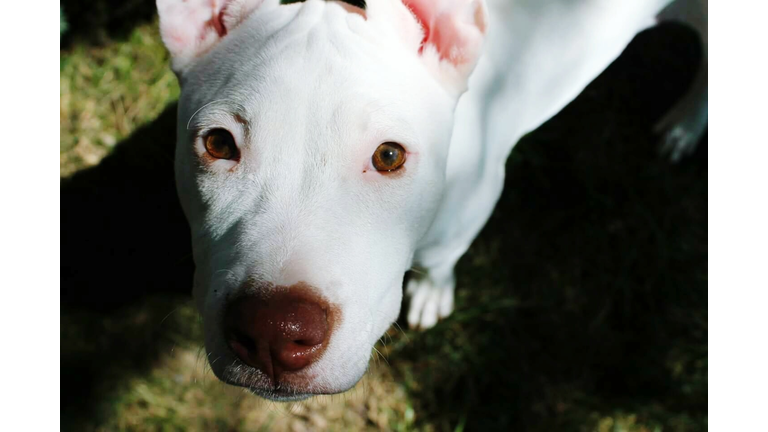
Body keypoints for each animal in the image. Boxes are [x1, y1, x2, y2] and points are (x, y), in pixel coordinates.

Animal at [156, 0, 708, 400]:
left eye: (389, 155)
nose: (274, 332)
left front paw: (432, 293)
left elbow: (443, 260)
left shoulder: (472, 206)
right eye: (219, 144)